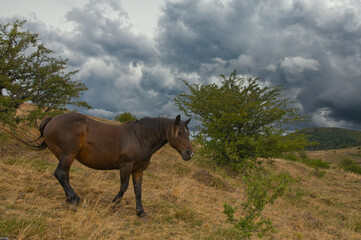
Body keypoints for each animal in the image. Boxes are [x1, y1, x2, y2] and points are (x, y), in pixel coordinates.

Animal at [20, 112, 193, 218]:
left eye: (188, 133)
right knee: (61, 174)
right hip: (67, 155)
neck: (140, 137)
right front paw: (112, 205)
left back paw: (70, 198)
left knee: (64, 176)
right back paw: (75, 199)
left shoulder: (138, 170)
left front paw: (141, 212)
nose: (189, 153)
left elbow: (138, 191)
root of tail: (52, 120)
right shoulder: (125, 166)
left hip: (64, 157)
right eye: (179, 133)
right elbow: (124, 187)